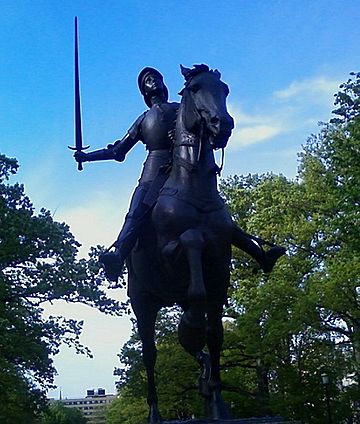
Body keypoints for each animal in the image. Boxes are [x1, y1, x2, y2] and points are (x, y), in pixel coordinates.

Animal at [128, 64, 235, 422]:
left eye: (224, 89)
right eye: (196, 88)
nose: (221, 124)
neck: (194, 188)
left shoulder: (220, 271)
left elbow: (214, 335)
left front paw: (216, 399)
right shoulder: (171, 255)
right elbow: (190, 240)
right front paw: (191, 328)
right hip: (143, 302)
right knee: (149, 355)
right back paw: (154, 412)